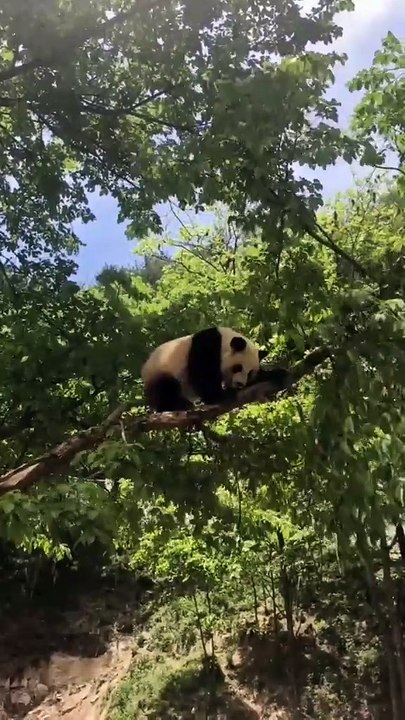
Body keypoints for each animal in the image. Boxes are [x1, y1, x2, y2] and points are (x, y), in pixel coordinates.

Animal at [141, 325, 289, 412]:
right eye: (238, 367)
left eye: (250, 373)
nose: (240, 384)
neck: (224, 341)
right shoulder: (206, 347)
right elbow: (202, 374)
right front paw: (220, 395)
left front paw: (277, 374)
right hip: (161, 369)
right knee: (166, 386)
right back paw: (177, 405)